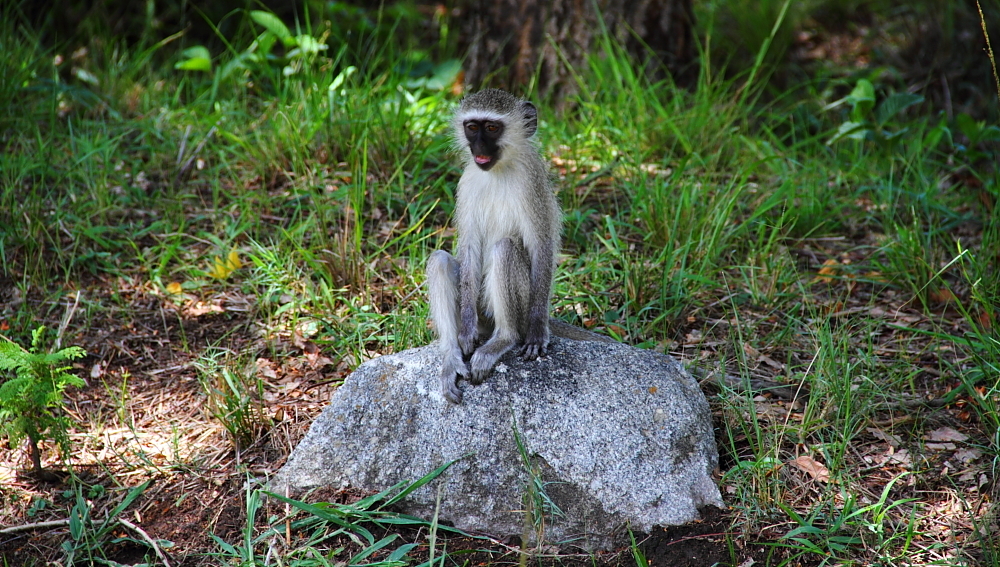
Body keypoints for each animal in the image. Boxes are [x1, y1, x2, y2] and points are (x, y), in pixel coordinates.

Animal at [424, 90, 560, 404]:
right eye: (472, 127)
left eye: (492, 128)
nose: (479, 146)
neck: (499, 169)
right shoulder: (467, 181)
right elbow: (470, 248)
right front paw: (465, 331)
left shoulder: (531, 182)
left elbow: (541, 246)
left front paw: (537, 329)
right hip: (479, 309)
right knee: (440, 261)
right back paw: (452, 358)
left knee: (504, 248)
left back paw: (503, 339)